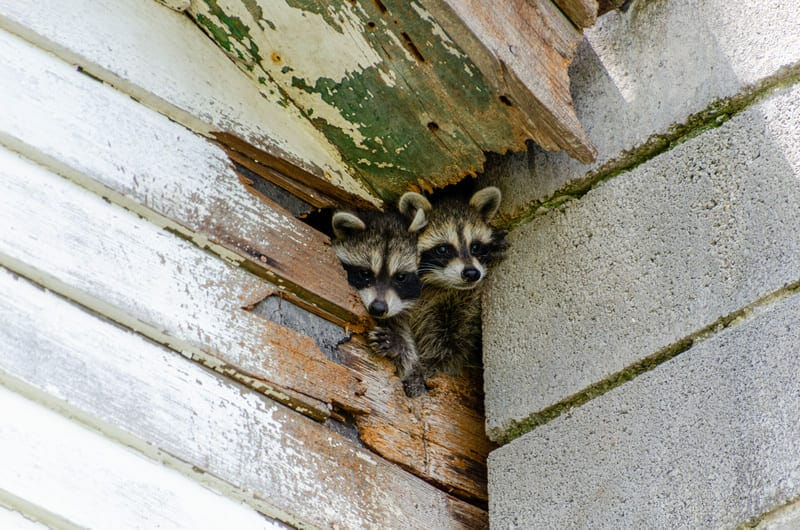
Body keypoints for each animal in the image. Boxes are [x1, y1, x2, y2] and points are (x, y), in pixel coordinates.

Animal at [396, 184, 506, 394]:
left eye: (476, 246)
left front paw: (429, 367)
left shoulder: (462, 303)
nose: (471, 273)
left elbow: (454, 344)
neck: (440, 285)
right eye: (443, 249)